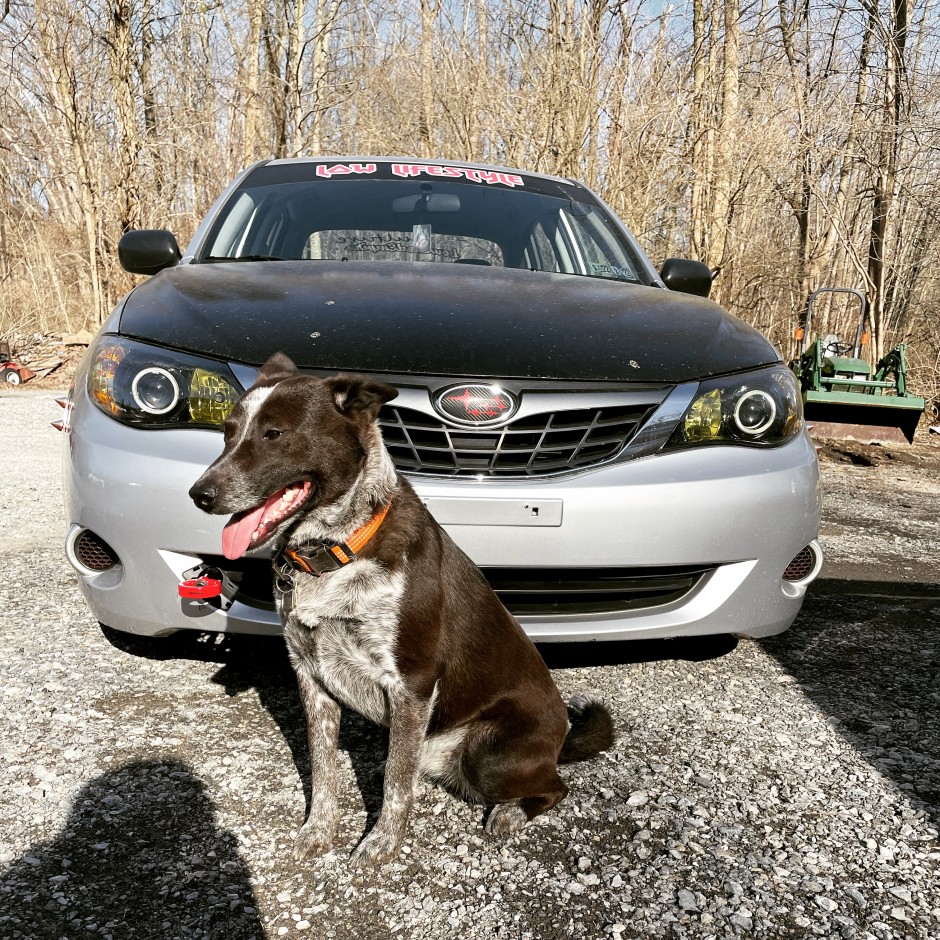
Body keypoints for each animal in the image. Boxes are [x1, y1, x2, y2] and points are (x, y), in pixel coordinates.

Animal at [190, 352, 616, 868]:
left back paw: (510, 812)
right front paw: (319, 830)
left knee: (555, 787)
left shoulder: (411, 683)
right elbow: (324, 768)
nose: (199, 494)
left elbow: (397, 782)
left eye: (275, 433)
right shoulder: (311, 678)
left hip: (490, 755)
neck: (337, 549)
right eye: (227, 432)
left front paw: (380, 844)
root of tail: (560, 739)